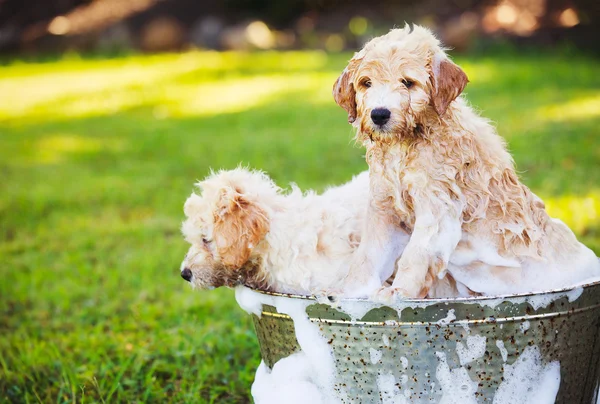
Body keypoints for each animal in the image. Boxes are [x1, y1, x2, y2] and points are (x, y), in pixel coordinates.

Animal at [332, 23, 600, 298]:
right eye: (366, 83)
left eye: (408, 83)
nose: (379, 114)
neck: (406, 145)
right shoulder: (383, 208)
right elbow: (366, 258)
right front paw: (346, 293)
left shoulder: (437, 210)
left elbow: (414, 257)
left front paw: (399, 292)